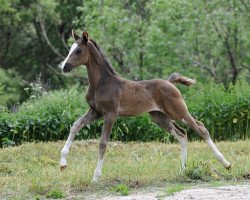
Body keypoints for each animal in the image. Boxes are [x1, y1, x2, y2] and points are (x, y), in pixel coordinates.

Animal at [59, 30, 230, 182]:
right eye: (70, 49)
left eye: (78, 50)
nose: (64, 67)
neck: (102, 84)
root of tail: (169, 82)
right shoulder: (95, 112)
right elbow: (75, 125)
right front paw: (62, 164)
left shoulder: (110, 115)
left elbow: (102, 144)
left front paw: (96, 177)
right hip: (159, 117)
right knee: (182, 134)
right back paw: (183, 170)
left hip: (178, 111)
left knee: (201, 128)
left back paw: (226, 163)